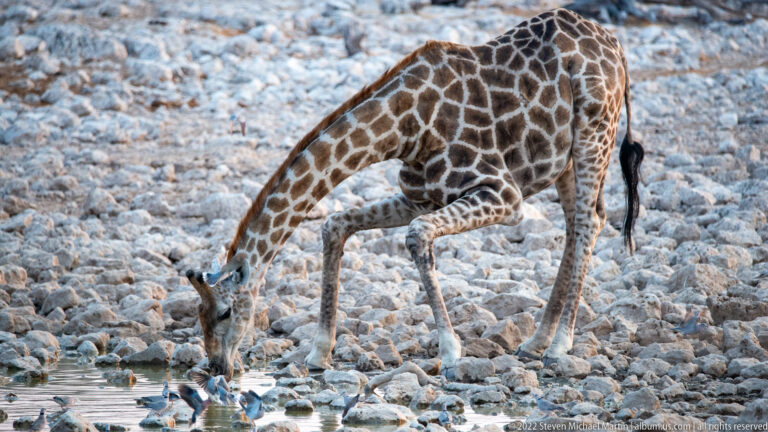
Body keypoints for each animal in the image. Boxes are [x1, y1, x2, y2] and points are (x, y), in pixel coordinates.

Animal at [186, 8, 644, 378]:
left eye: (225, 311)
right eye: (198, 314)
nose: (218, 368)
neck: (406, 127)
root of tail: (617, 46)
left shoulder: (503, 194)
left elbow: (418, 235)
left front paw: (451, 351)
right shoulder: (418, 196)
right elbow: (335, 225)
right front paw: (318, 353)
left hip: (594, 133)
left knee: (589, 221)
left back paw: (560, 345)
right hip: (563, 159)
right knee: (577, 223)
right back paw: (536, 341)